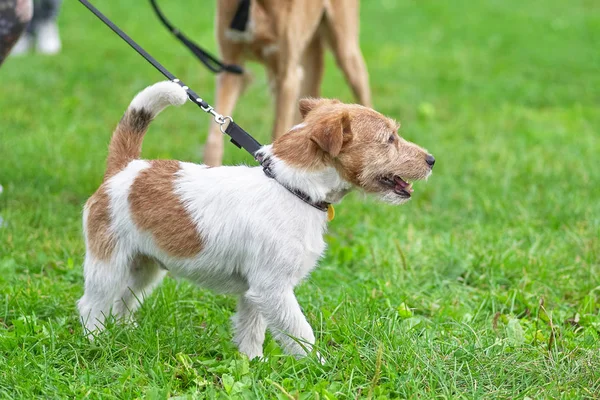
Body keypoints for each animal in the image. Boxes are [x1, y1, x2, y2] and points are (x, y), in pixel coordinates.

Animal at [78, 81, 436, 360]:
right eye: (389, 139)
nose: (432, 160)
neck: (292, 187)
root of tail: (125, 168)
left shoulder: (255, 292)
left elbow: (252, 330)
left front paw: (252, 364)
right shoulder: (273, 289)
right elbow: (300, 334)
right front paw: (318, 366)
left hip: (145, 267)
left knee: (123, 301)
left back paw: (126, 333)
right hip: (108, 265)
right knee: (92, 306)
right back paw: (97, 342)